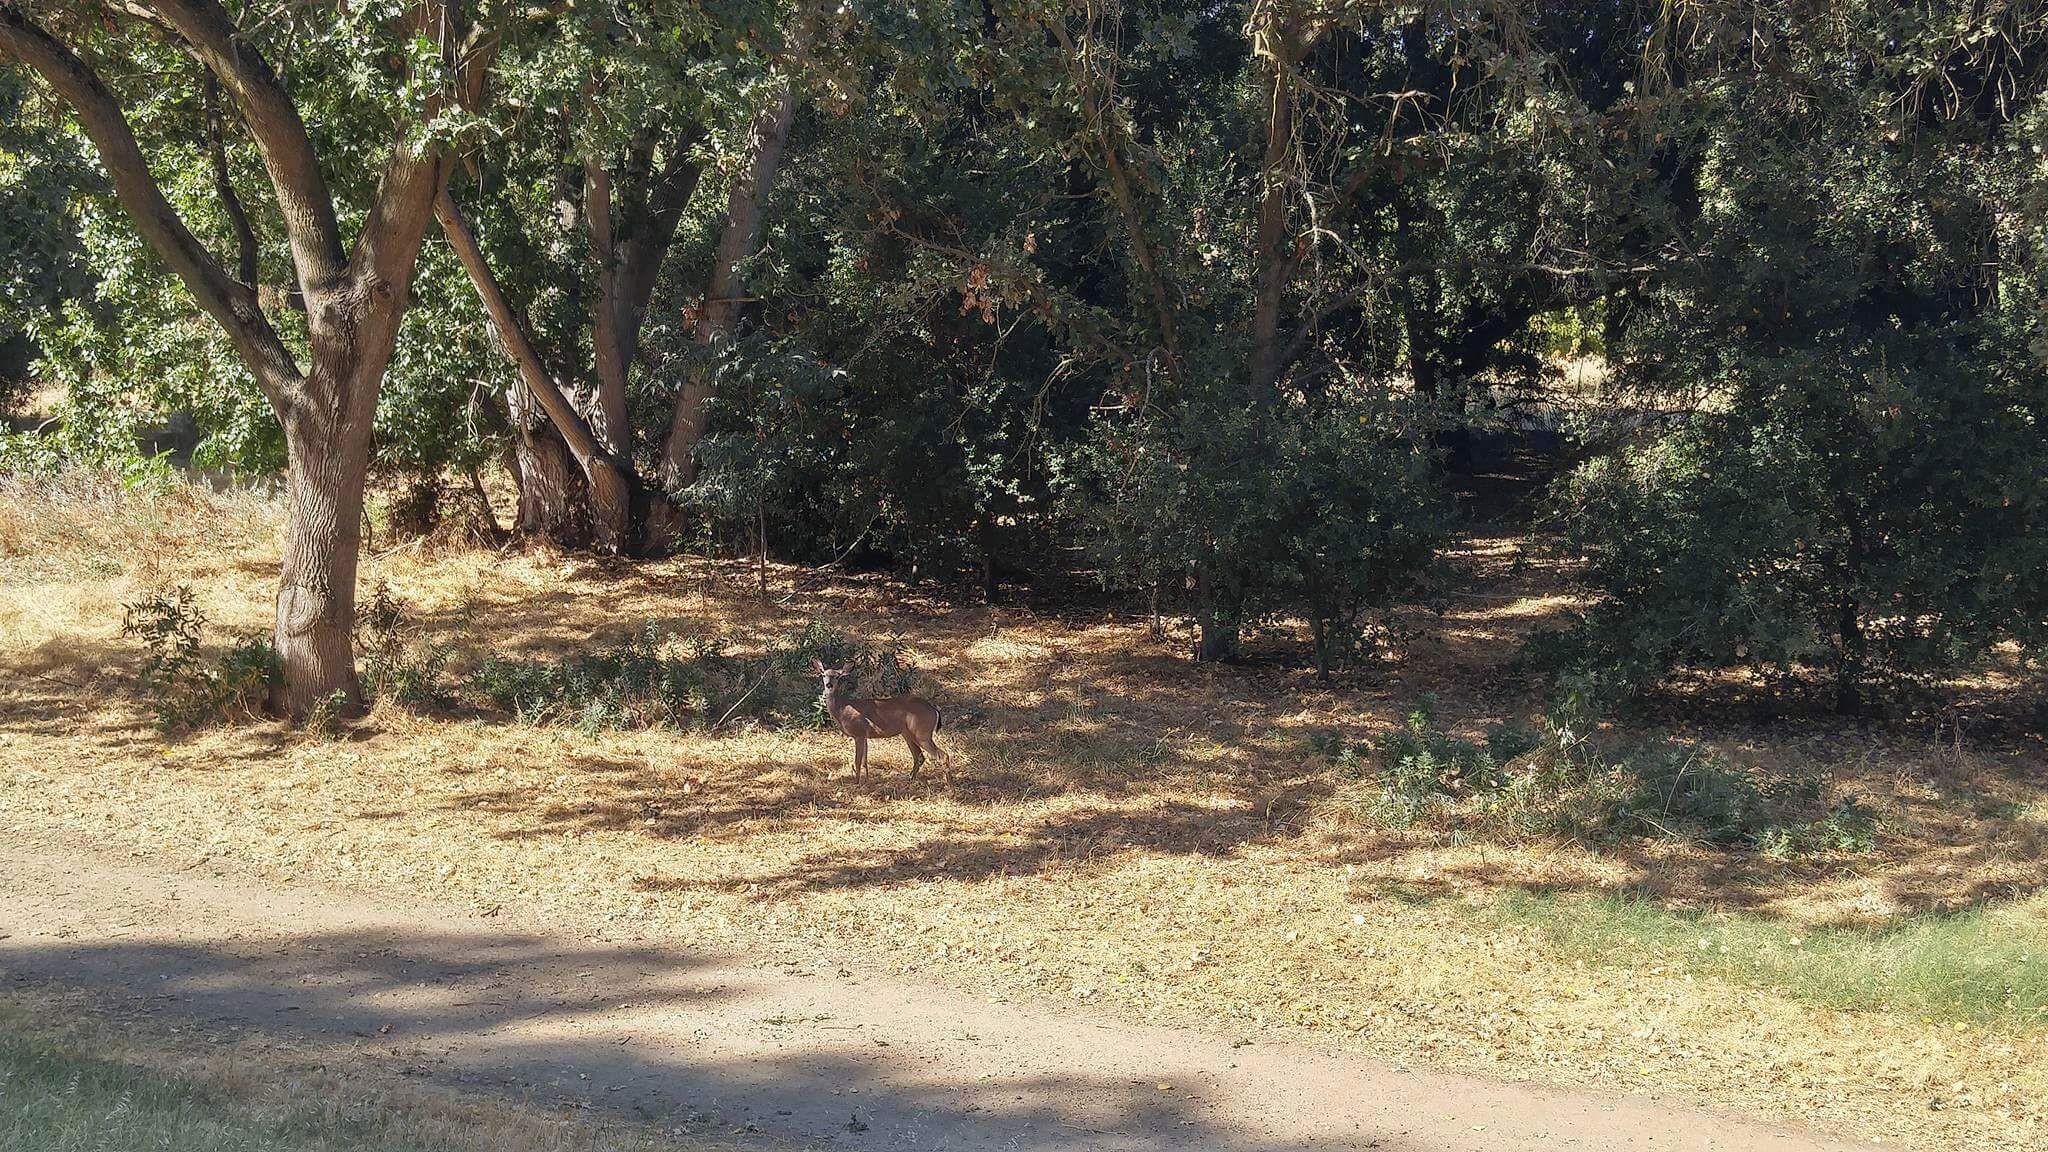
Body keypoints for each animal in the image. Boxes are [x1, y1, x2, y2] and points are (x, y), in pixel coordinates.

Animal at [811, 659, 951, 783]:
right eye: (823, 674)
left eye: (837, 676)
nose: (829, 685)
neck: (842, 709)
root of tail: (934, 710)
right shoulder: (865, 735)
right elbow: (864, 761)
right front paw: (866, 780)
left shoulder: (859, 733)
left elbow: (857, 761)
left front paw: (856, 782)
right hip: (908, 733)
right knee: (919, 756)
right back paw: (910, 778)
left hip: (922, 732)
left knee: (943, 755)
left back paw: (948, 784)